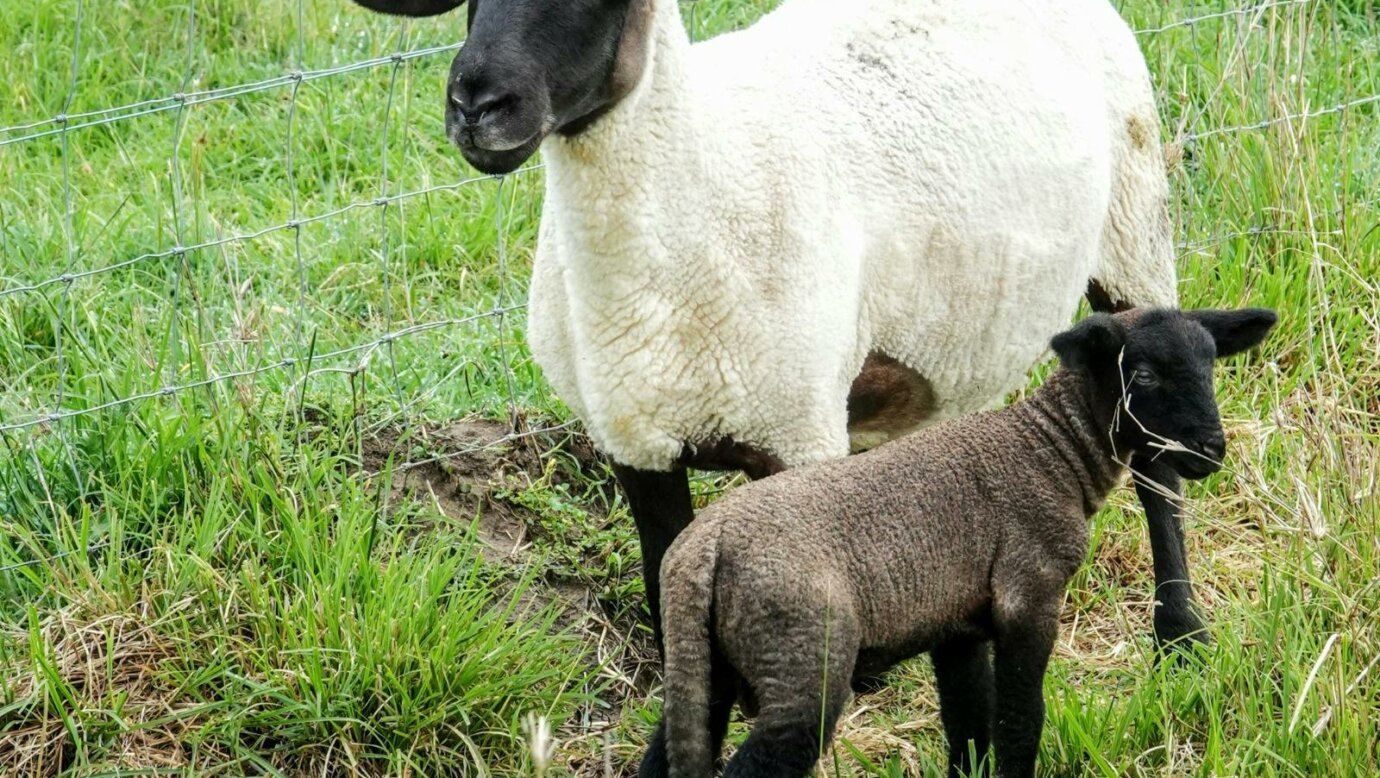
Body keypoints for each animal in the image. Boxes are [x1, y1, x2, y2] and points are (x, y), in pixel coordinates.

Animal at [347, 0, 1205, 651]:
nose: (475, 105)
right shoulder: (633, 440)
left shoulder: (796, 431)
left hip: (1135, 232)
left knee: (1158, 463)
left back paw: (1181, 634)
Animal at [645, 307, 1277, 778]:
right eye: (1143, 375)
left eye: (1210, 366)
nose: (1211, 451)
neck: (1053, 452)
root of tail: (700, 548)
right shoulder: (1029, 594)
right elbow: (1020, 719)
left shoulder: (958, 626)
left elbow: (969, 726)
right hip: (801, 663)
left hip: (707, 665)